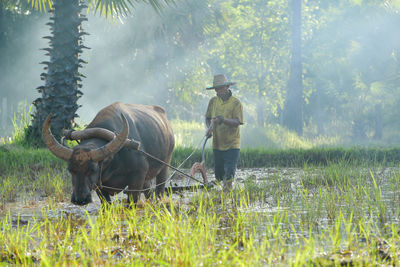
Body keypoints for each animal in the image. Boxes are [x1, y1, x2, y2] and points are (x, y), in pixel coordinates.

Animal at [42, 102, 175, 205]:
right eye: (70, 170)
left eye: (92, 169)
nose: (80, 200)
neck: (114, 161)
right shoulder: (99, 186)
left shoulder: (137, 179)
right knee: (149, 192)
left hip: (165, 164)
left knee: (159, 190)